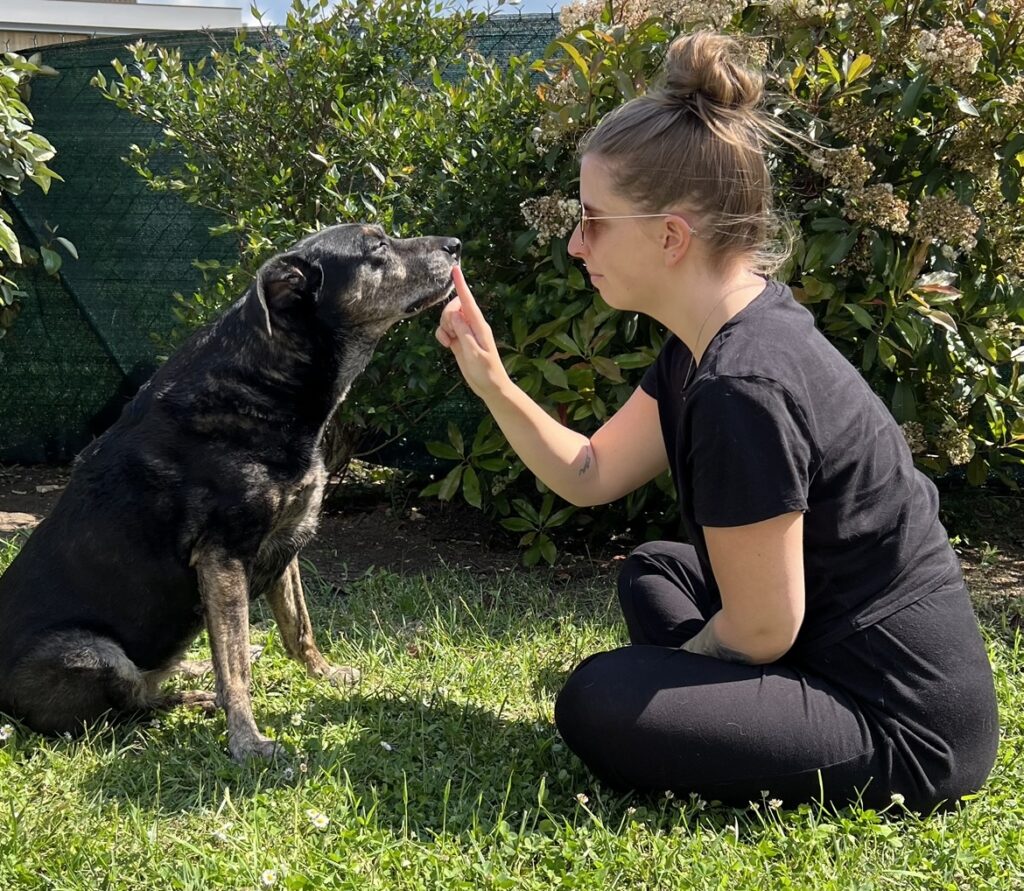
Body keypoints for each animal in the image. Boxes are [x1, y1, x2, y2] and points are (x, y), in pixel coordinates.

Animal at [0, 223, 460, 761]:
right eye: (377, 247)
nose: (455, 246)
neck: (264, 382)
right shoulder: (223, 558)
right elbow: (235, 666)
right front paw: (247, 740)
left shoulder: (284, 543)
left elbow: (297, 628)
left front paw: (324, 675)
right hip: (90, 650)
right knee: (136, 700)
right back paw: (195, 697)